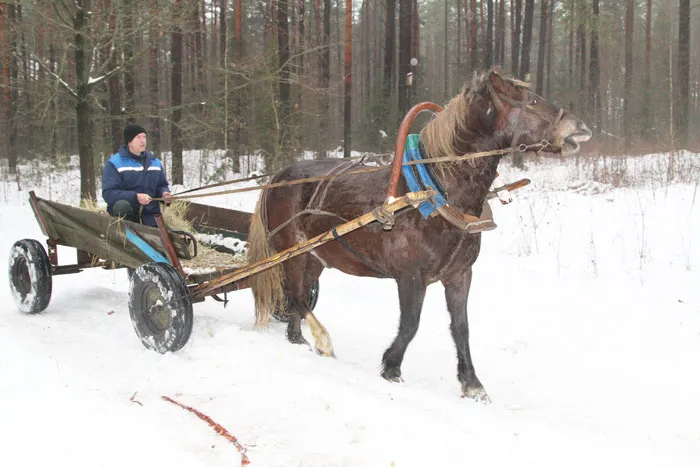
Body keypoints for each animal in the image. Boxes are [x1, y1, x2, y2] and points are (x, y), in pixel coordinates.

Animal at [246, 66, 592, 402]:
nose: (581, 127)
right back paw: (322, 340)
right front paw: (391, 368)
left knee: (300, 296)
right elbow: (411, 324)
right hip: (291, 251)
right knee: (295, 295)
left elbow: (461, 328)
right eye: (532, 101)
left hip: (315, 257)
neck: (436, 192)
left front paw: (472, 384)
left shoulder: (459, 275)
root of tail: (279, 176)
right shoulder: (411, 276)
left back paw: (298, 339)